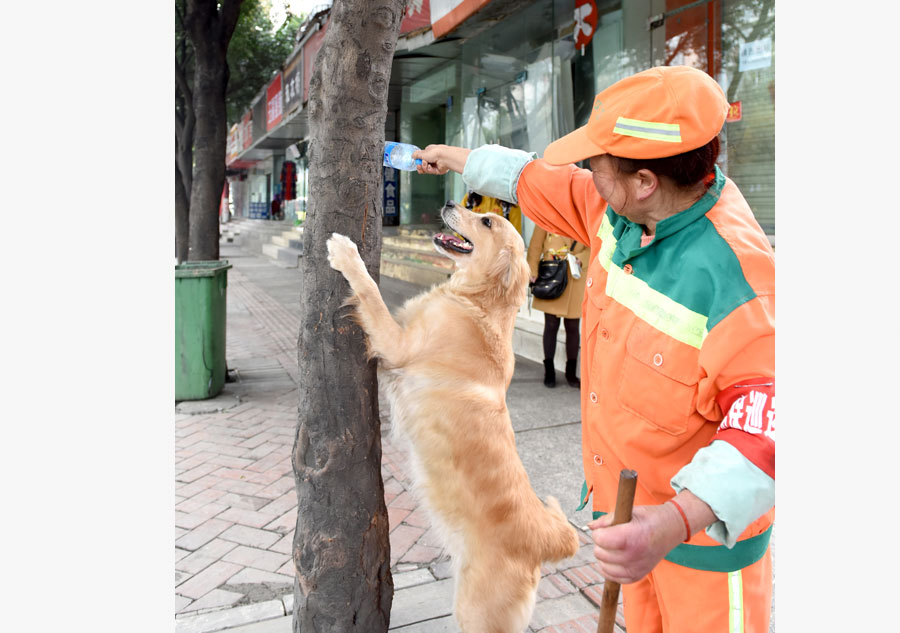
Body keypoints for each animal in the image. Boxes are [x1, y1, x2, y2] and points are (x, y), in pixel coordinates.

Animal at [326, 200, 580, 628]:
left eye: (487, 221)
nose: (447, 203)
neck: (478, 302)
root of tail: (545, 540)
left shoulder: (396, 344)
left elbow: (371, 291)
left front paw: (346, 253)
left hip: (475, 612)